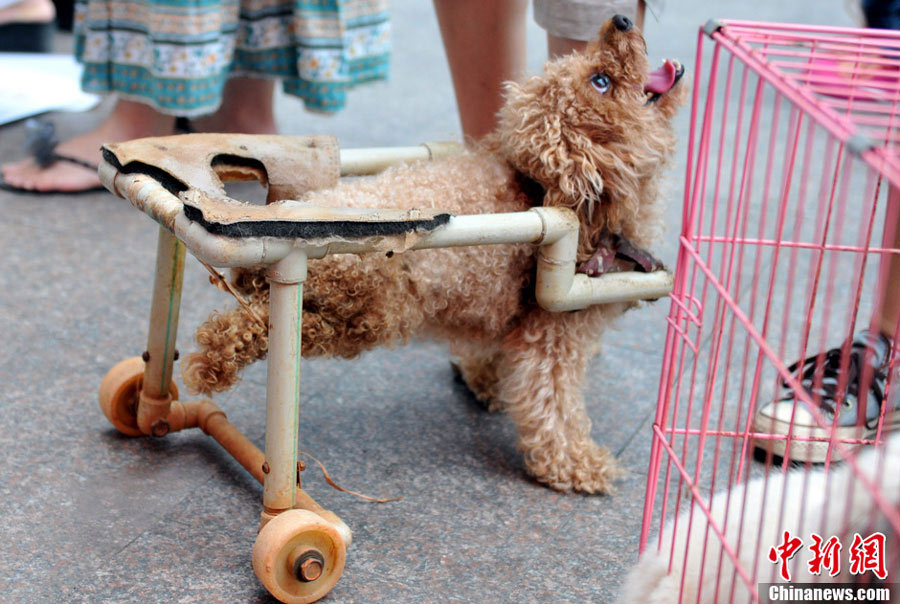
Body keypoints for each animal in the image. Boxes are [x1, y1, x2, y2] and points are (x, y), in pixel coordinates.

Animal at [185, 16, 688, 494]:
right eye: (601, 81)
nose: (621, 20)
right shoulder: (552, 333)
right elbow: (553, 402)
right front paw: (576, 465)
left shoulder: (509, 312)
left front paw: (485, 380)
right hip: (370, 312)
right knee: (259, 327)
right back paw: (212, 364)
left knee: (255, 320)